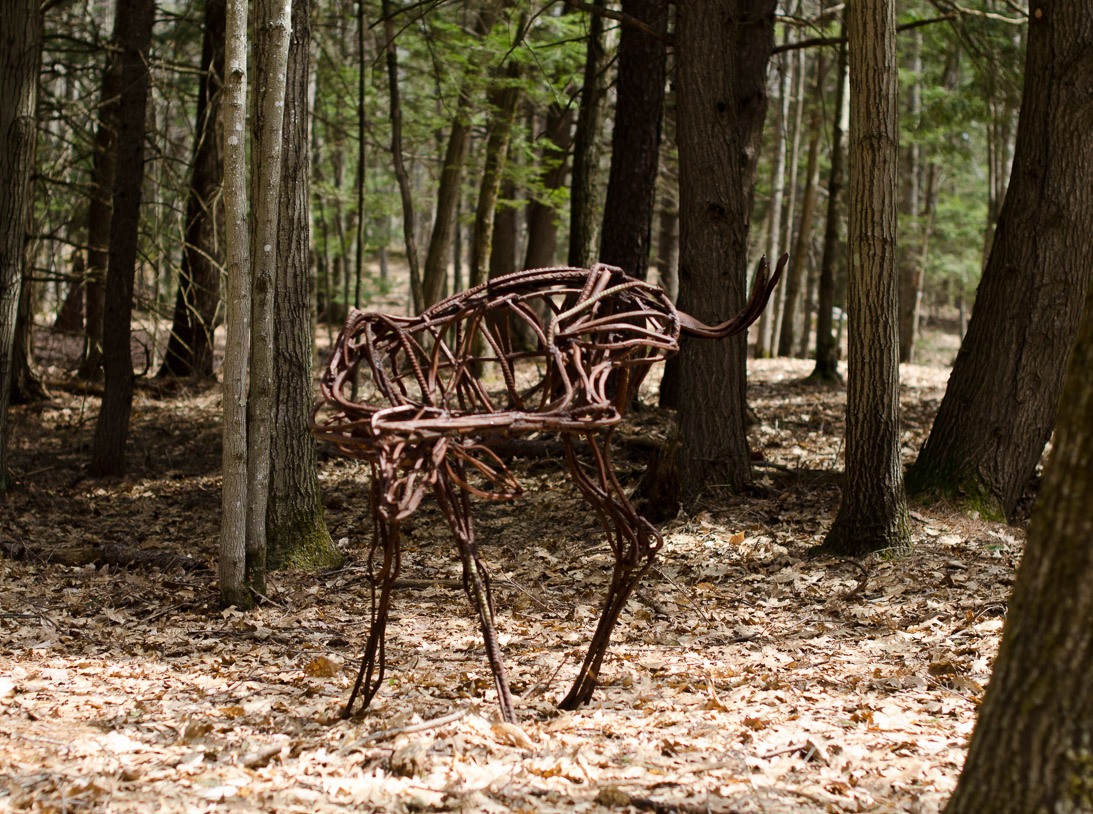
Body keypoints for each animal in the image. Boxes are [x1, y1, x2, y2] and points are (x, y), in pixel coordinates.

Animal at [311, 253, 787, 722]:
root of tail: (660, 305)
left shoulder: (430, 451)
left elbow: (458, 571)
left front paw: (504, 711)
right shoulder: (420, 460)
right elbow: (394, 568)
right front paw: (359, 700)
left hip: (589, 417)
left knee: (640, 537)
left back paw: (575, 692)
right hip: (584, 433)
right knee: (634, 540)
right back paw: (577, 692)